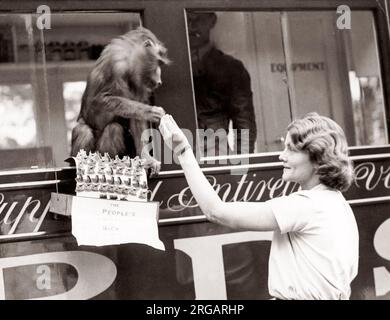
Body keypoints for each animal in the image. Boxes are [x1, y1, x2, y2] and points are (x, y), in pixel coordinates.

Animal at [70, 26, 171, 174]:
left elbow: (136, 118)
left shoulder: (139, 81)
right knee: (84, 130)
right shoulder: (116, 64)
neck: (130, 60)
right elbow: (99, 100)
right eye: (158, 63)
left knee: (113, 129)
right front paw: (151, 112)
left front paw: (147, 158)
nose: (160, 81)